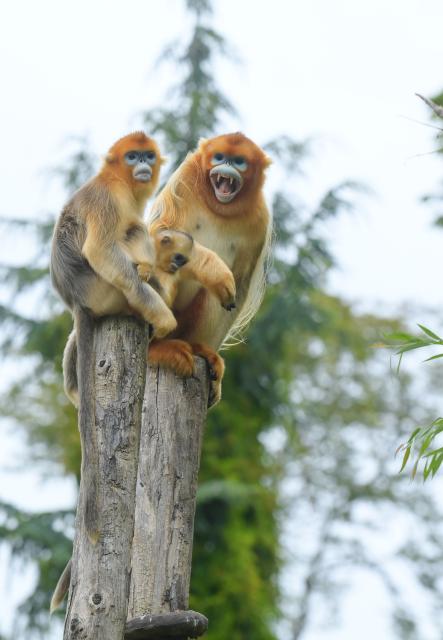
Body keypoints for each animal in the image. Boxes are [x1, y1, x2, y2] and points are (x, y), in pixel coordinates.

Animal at [147, 132, 272, 406]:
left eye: (239, 161)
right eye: (219, 157)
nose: (226, 167)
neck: (219, 207)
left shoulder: (261, 220)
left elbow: (239, 286)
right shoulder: (183, 179)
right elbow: (157, 235)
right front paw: (213, 268)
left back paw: (198, 349)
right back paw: (156, 349)